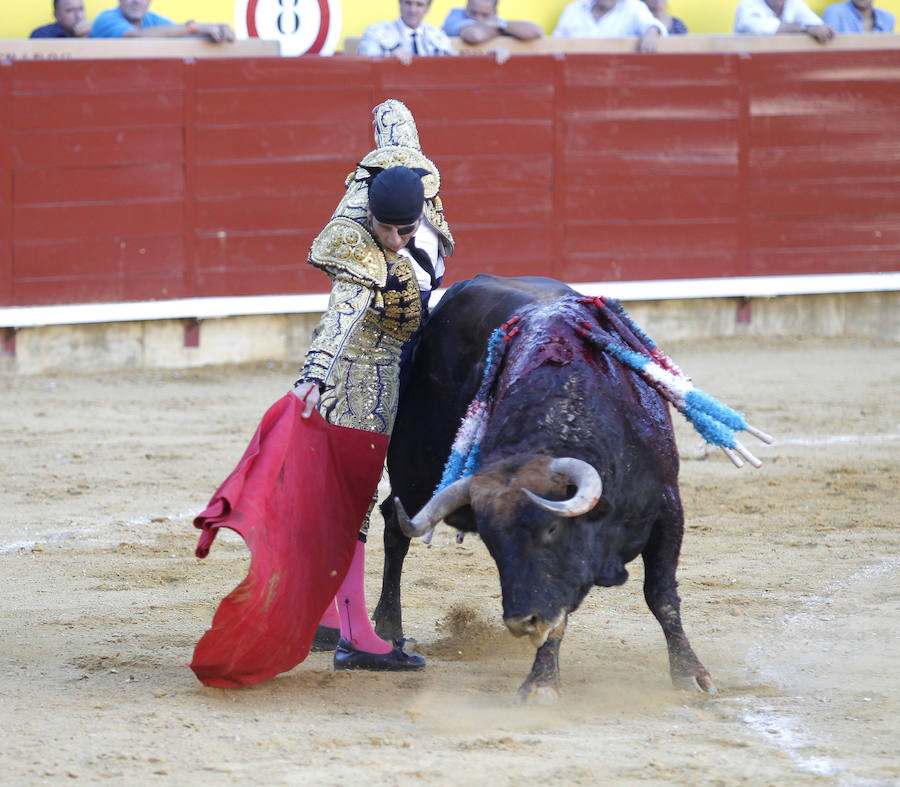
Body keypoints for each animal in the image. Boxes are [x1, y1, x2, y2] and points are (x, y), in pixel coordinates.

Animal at [372, 278, 716, 700]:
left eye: (551, 528)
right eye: (492, 543)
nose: (521, 623)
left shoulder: (669, 508)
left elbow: (661, 594)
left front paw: (689, 673)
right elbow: (558, 612)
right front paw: (541, 682)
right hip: (413, 473)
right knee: (394, 530)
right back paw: (388, 629)